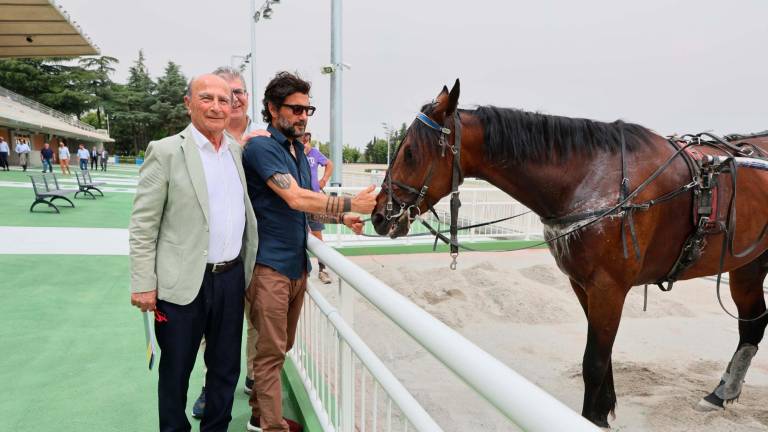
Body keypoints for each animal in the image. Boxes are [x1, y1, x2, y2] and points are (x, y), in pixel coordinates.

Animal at [372, 79, 768, 426]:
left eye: (410, 152)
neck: (593, 179)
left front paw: (593, 417)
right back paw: (721, 392)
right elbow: (602, 357)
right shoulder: (583, 285)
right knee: (752, 323)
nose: (379, 214)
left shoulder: (609, 287)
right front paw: (603, 411)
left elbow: (594, 361)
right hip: (748, 264)